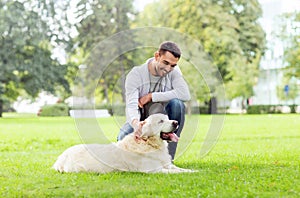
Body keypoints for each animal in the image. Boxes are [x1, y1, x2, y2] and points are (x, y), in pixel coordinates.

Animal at [53, 113, 196, 173]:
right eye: (161, 121)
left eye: (168, 118)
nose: (176, 122)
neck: (149, 143)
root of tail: (62, 156)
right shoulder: (154, 170)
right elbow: (177, 172)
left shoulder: (167, 165)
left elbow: (181, 169)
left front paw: (194, 171)